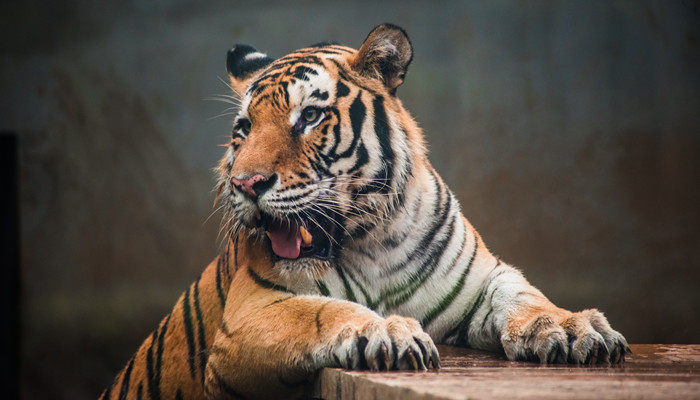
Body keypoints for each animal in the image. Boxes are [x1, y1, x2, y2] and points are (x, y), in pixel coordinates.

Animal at [100, 24, 629, 400]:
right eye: (244, 128)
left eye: (309, 117)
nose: (245, 185)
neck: (376, 241)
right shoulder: (252, 311)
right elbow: (323, 311)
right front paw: (388, 330)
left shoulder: (482, 279)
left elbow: (524, 297)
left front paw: (571, 328)